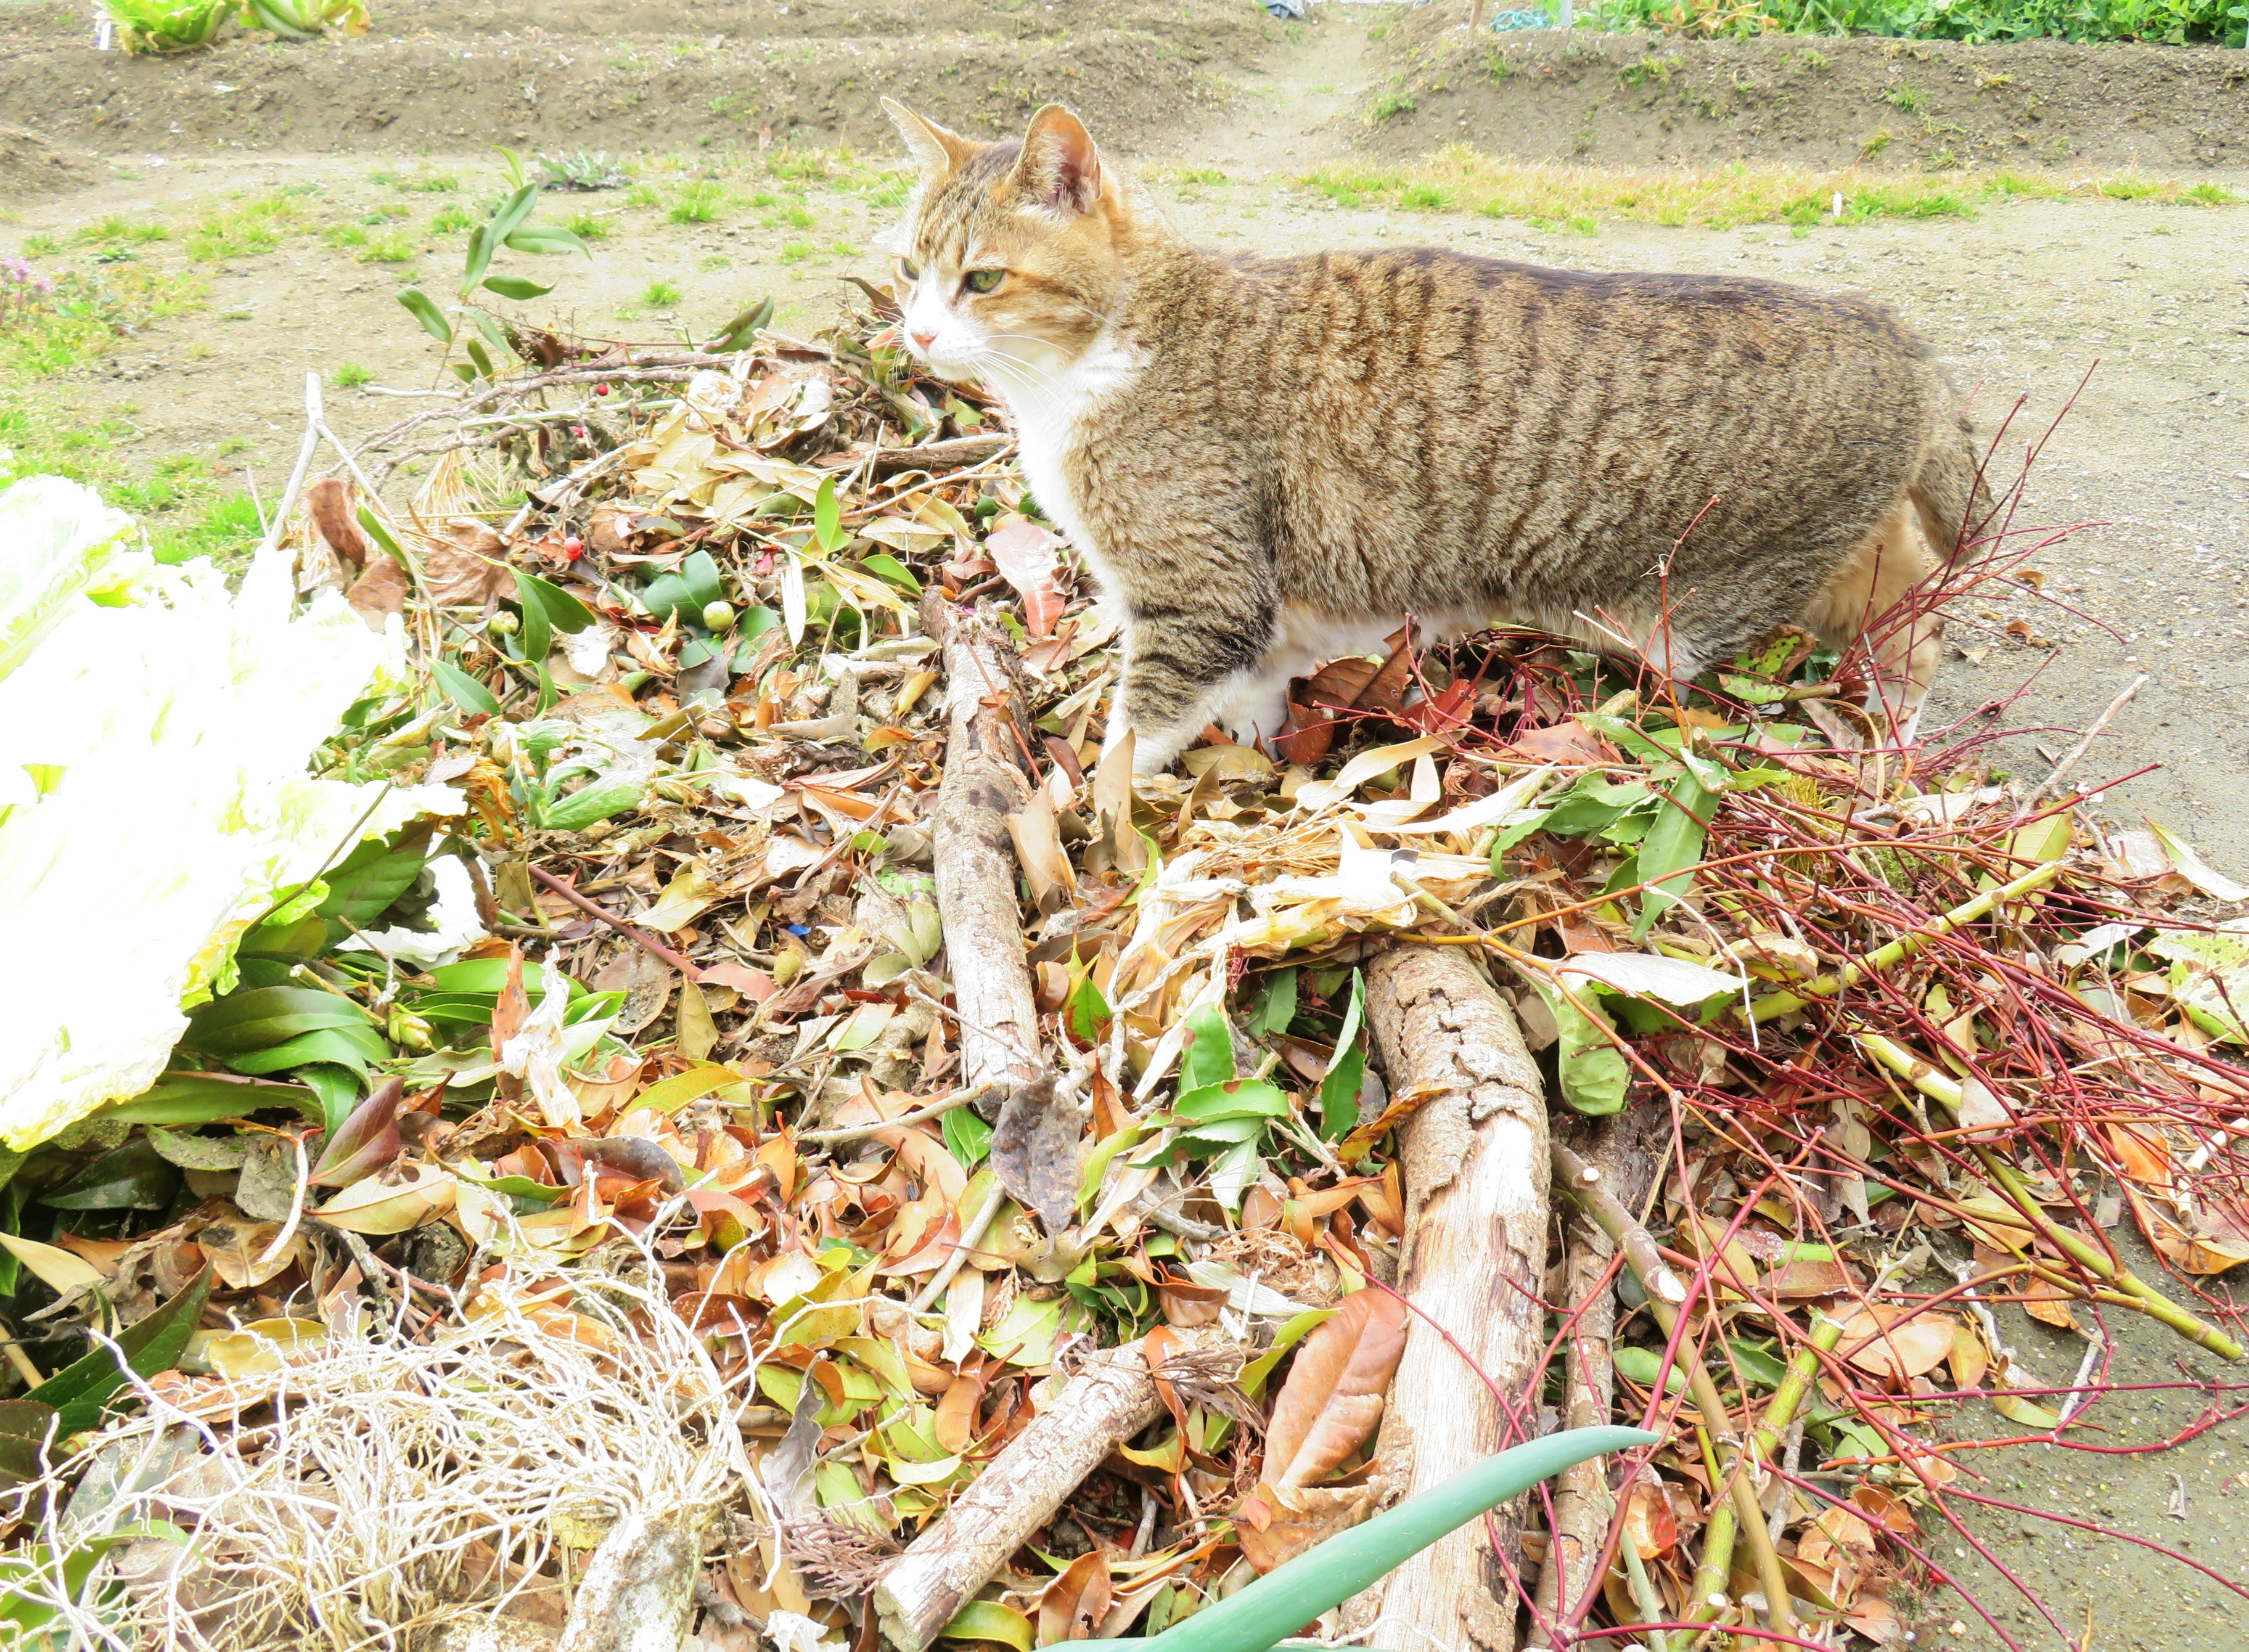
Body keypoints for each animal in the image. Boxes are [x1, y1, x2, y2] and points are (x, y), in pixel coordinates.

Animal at [877, 100, 1988, 773]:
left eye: (982, 279)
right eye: (907, 271)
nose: (917, 333)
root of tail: (1887, 326)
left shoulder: (1200, 594)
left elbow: (1131, 731)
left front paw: (1083, 811)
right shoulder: (1251, 613)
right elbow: (1255, 688)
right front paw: (1257, 750)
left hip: (1691, 609)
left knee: (1905, 623)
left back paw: (1892, 754)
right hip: (1830, 563)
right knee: (1918, 609)